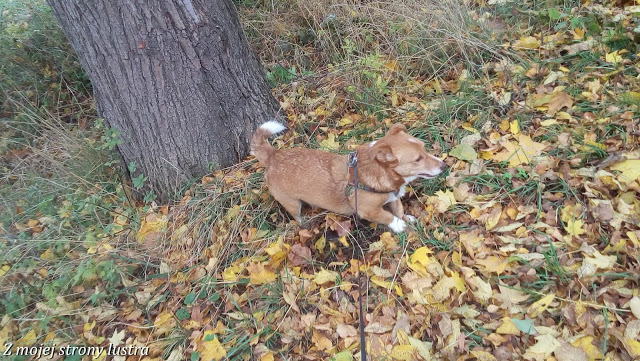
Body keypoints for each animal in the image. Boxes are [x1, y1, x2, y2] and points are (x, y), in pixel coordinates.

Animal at [250, 121, 444, 232]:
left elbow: (399, 209)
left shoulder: (393, 197)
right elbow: (387, 216)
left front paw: (405, 219)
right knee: (297, 217)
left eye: (425, 148)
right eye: (418, 159)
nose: (445, 165)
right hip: (292, 204)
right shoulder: (368, 211)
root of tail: (273, 156)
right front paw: (397, 225)